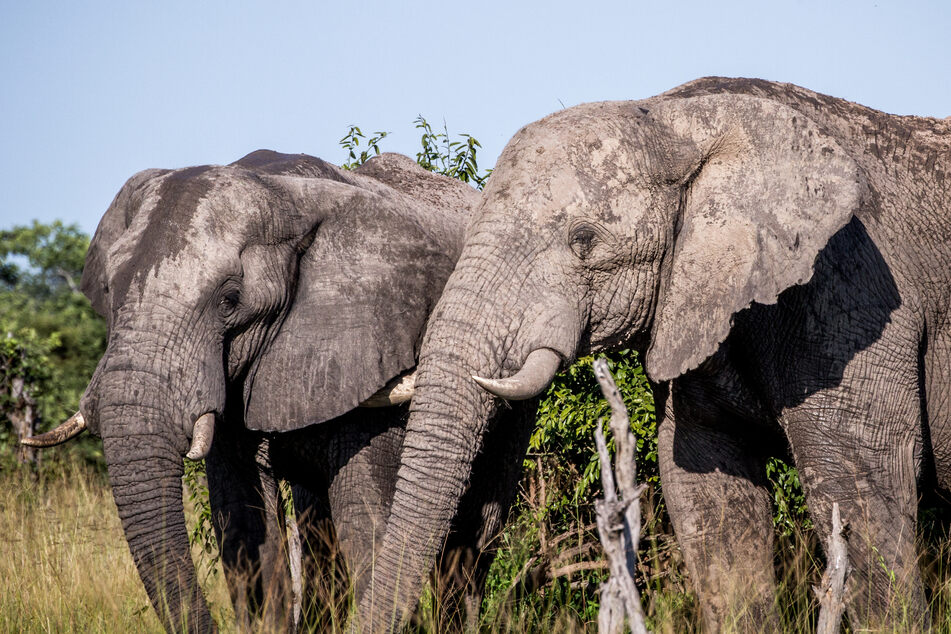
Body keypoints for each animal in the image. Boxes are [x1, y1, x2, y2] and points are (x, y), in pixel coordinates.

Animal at [24, 151, 536, 628]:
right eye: (110, 291)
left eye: (230, 300)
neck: (282, 192)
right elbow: (243, 525)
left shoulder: (369, 346)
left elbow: (366, 517)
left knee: (475, 534)